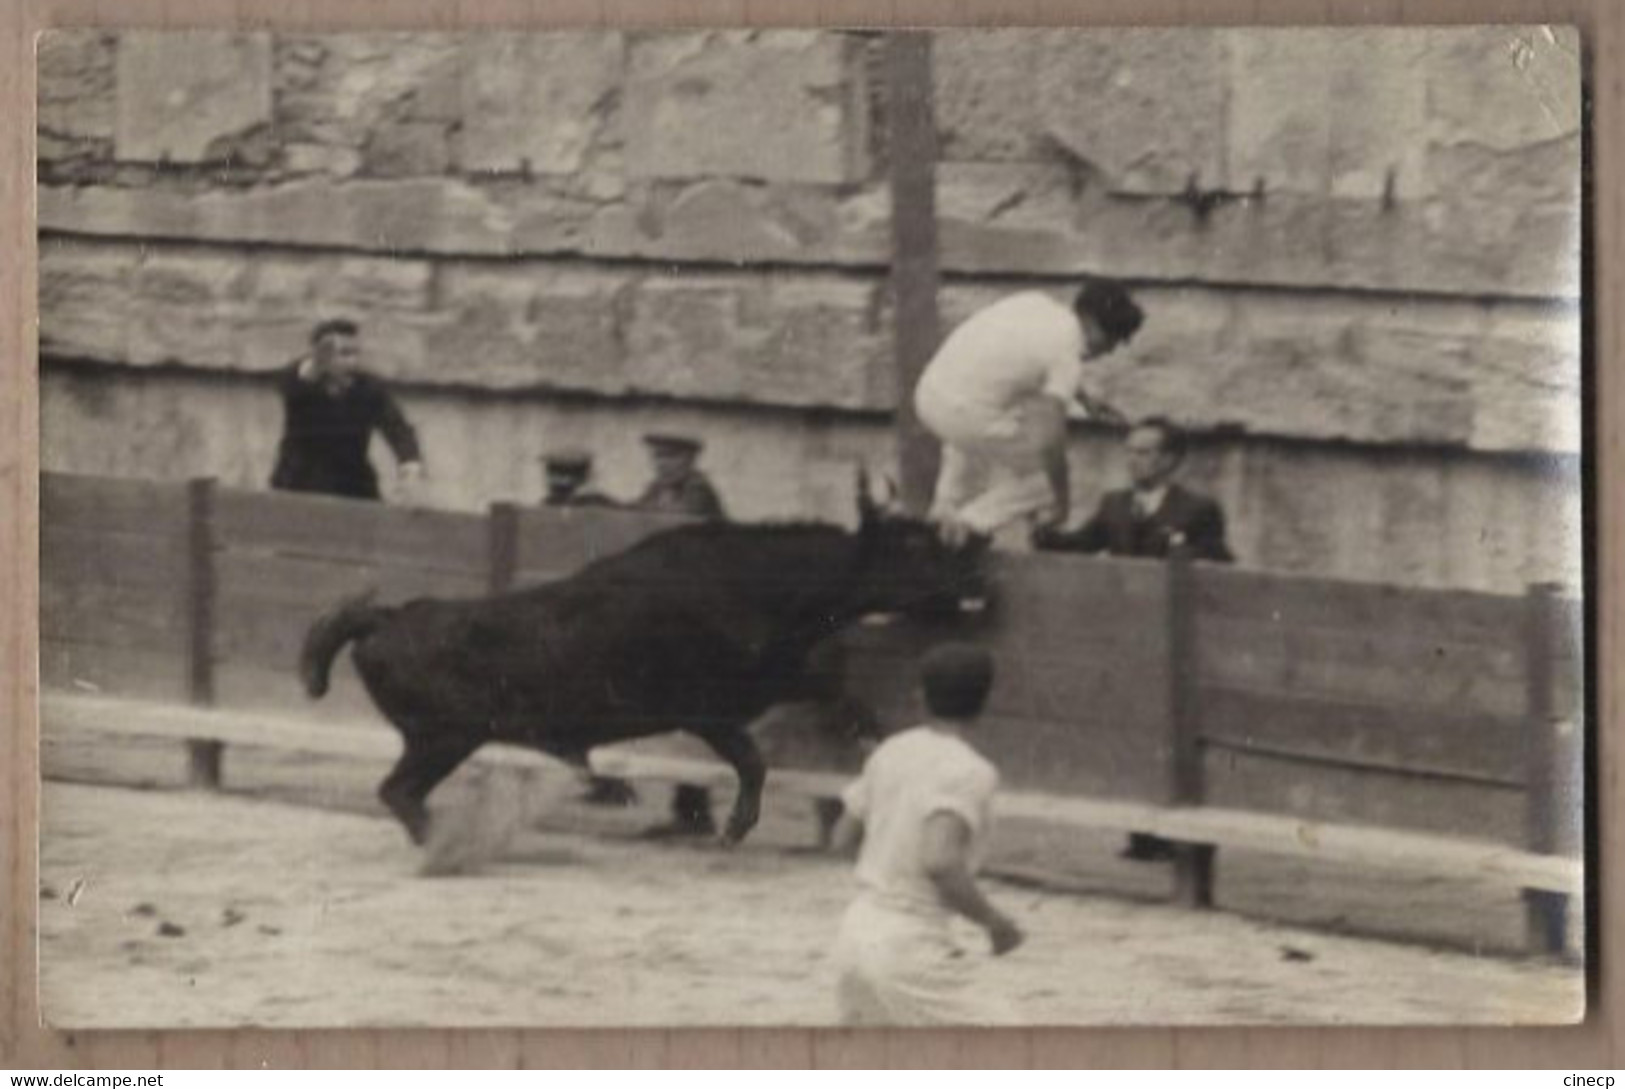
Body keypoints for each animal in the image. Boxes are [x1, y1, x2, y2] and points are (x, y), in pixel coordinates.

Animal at [297, 481, 981, 851]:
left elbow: (835, 692)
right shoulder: (709, 710)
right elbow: (753, 761)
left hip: (440, 739)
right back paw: (446, 845)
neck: (755, 583)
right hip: (442, 737)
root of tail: (384, 617)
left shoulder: (773, 679)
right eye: (912, 545)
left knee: (400, 793)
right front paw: (733, 830)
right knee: (398, 792)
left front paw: (874, 737)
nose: (974, 569)